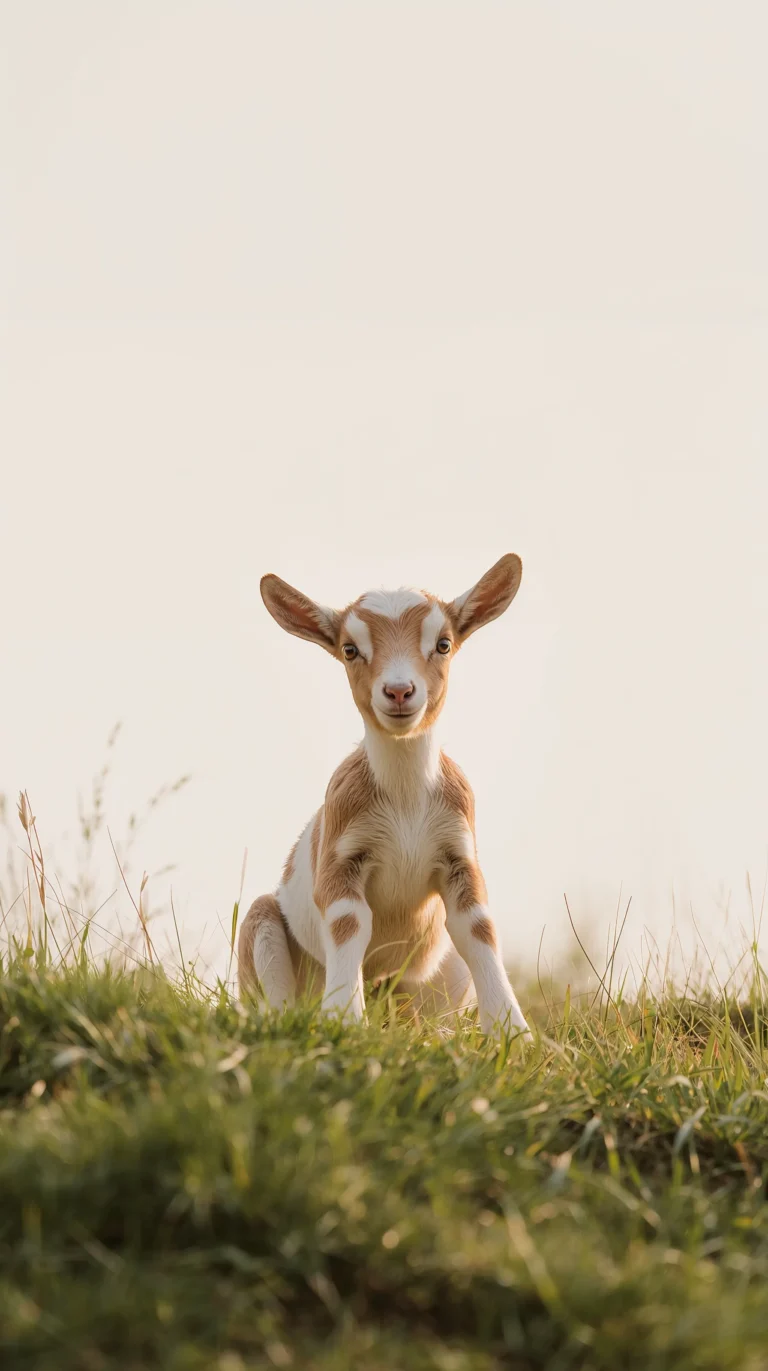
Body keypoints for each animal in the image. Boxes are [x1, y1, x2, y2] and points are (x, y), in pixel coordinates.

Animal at [238, 554, 529, 1039]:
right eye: (349, 649)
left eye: (443, 644)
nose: (398, 691)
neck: (406, 804)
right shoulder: (342, 860)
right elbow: (349, 922)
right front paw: (343, 1019)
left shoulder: (458, 857)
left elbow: (478, 928)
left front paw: (513, 1034)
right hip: (262, 926)